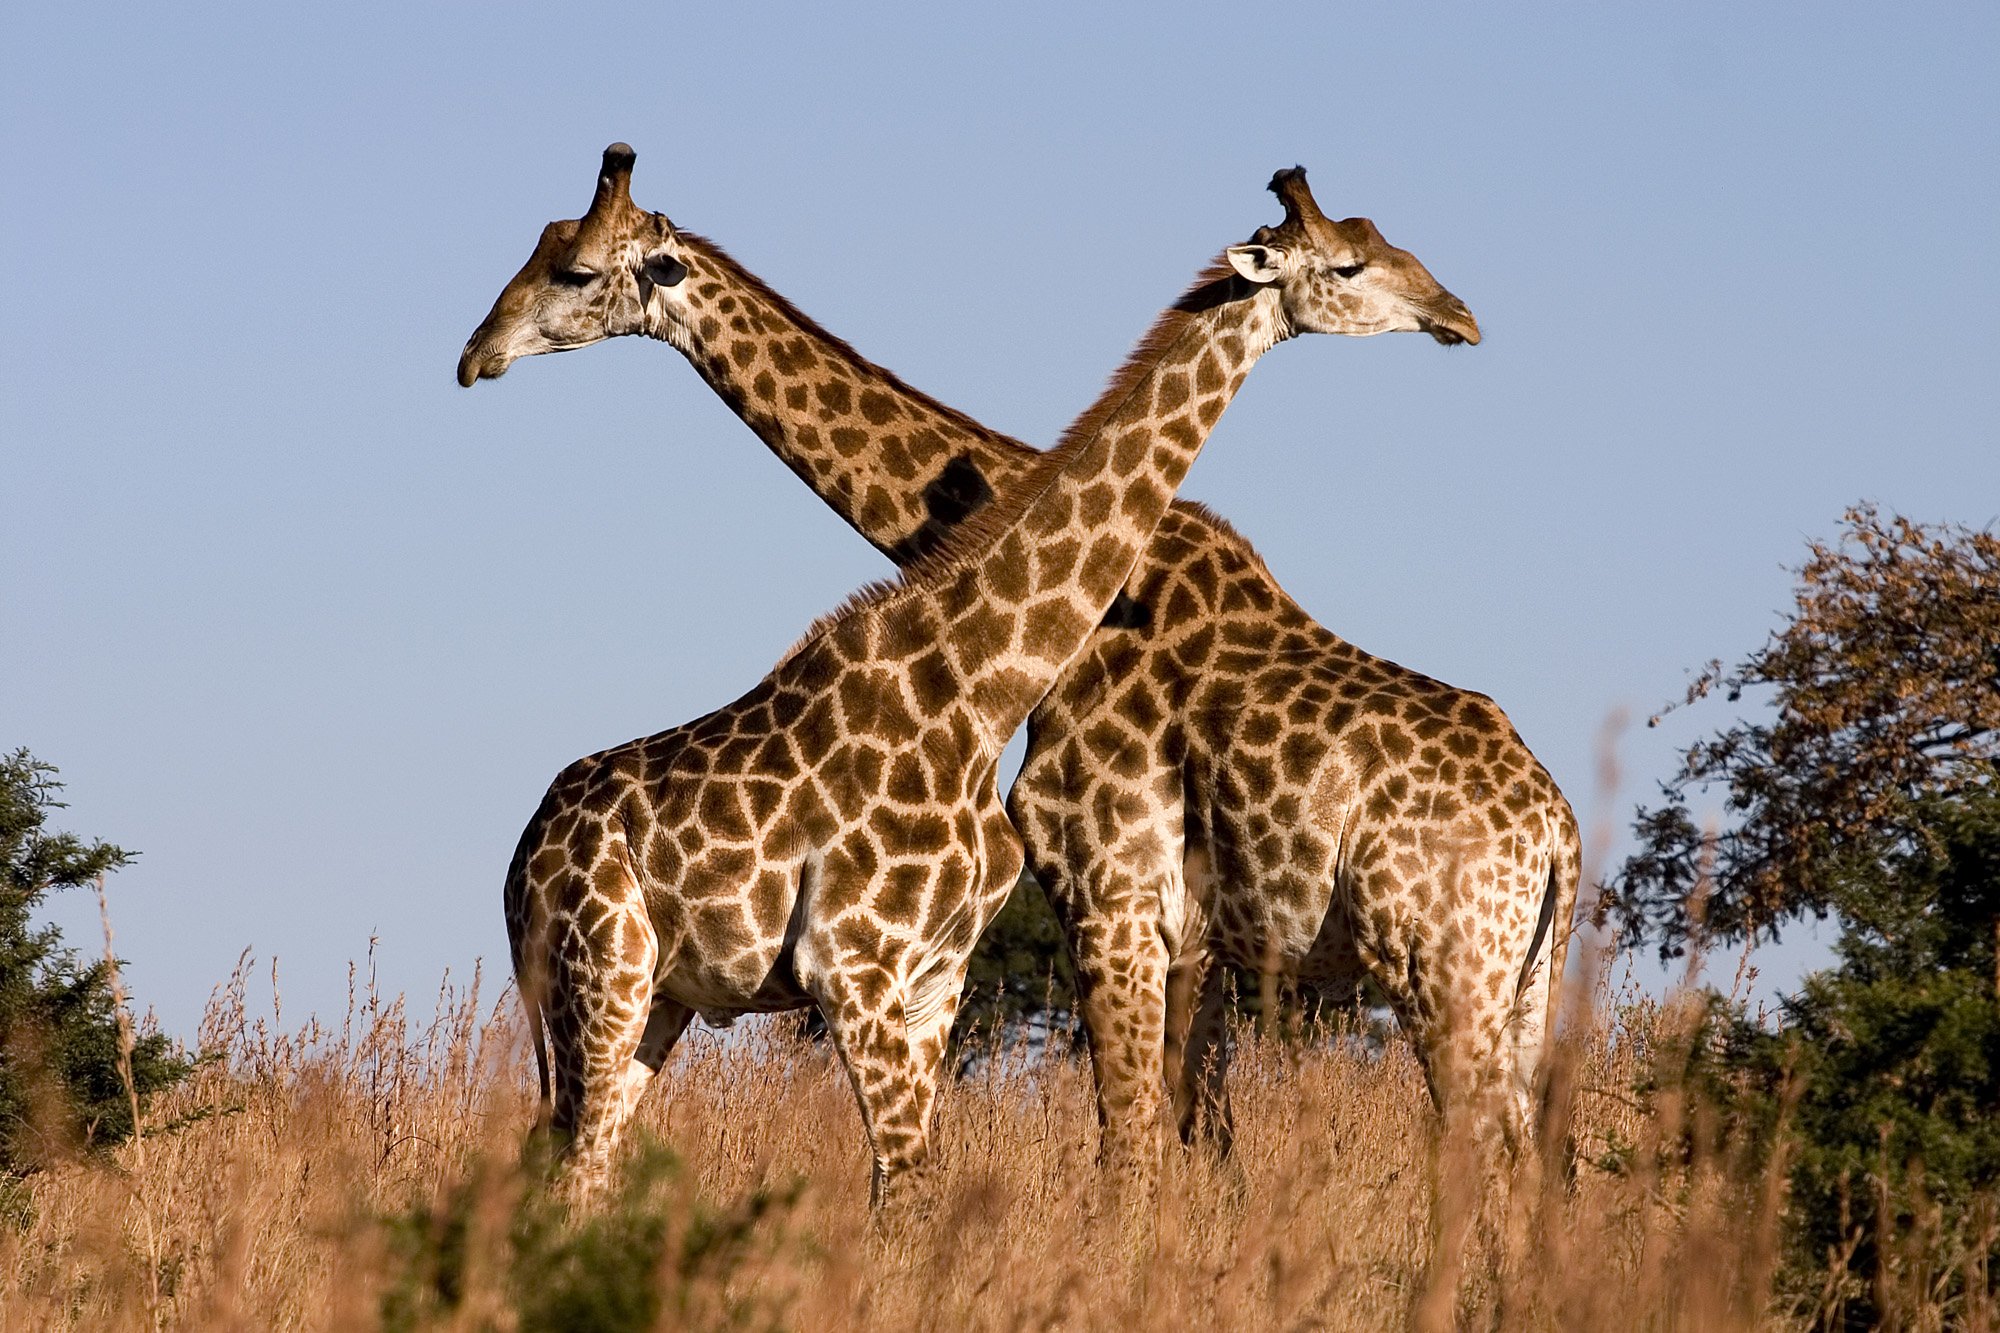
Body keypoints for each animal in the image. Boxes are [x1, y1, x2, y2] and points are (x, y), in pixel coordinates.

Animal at [459, 147, 1575, 1188]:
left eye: (570, 269)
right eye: (1355, 257)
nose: (476, 355)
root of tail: (1558, 831)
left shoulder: (1108, 904)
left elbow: (1139, 1150)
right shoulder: (1146, 931)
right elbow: (1167, 1151)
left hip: (1450, 966)